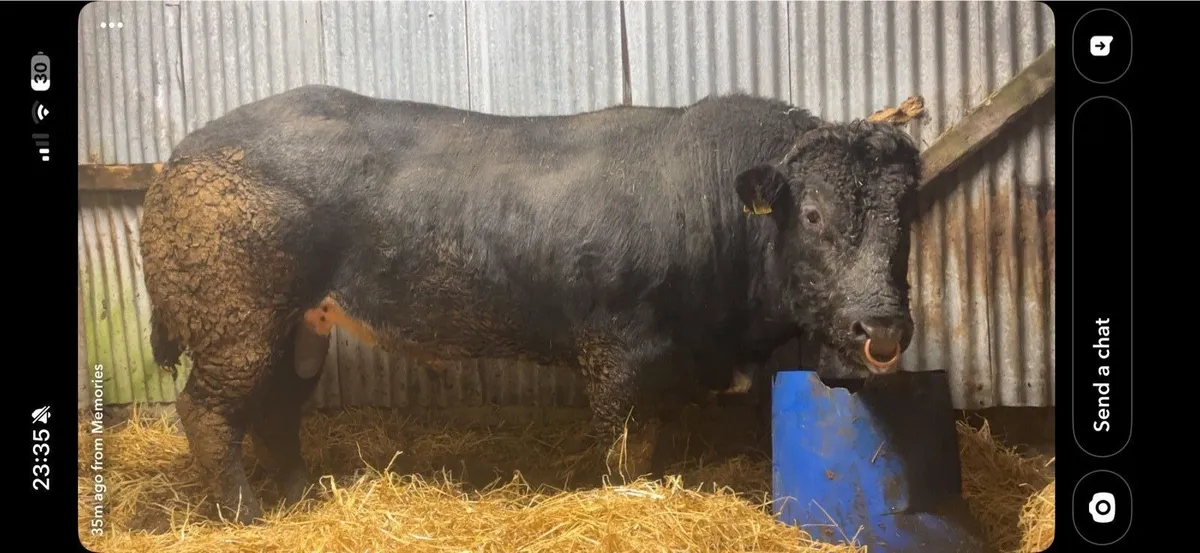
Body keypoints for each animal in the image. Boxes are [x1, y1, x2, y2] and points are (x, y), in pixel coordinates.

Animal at [140, 84, 921, 524]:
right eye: (812, 215)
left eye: (905, 215)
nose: (881, 326)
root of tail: (180, 156)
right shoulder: (617, 349)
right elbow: (625, 449)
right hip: (236, 322)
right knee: (208, 410)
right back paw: (245, 515)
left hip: (299, 324)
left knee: (277, 409)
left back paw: (302, 497)